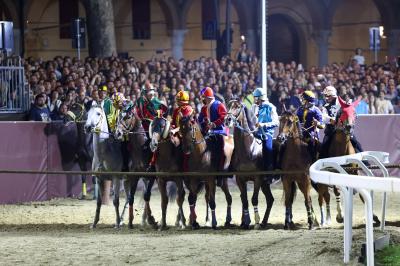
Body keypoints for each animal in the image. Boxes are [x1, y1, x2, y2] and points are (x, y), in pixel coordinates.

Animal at [225, 100, 276, 229]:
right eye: (228, 106)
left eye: (238, 107)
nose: (227, 119)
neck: (249, 150)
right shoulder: (240, 179)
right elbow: (245, 200)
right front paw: (245, 222)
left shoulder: (257, 179)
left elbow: (254, 199)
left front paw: (256, 222)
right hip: (265, 184)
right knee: (270, 199)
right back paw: (264, 222)